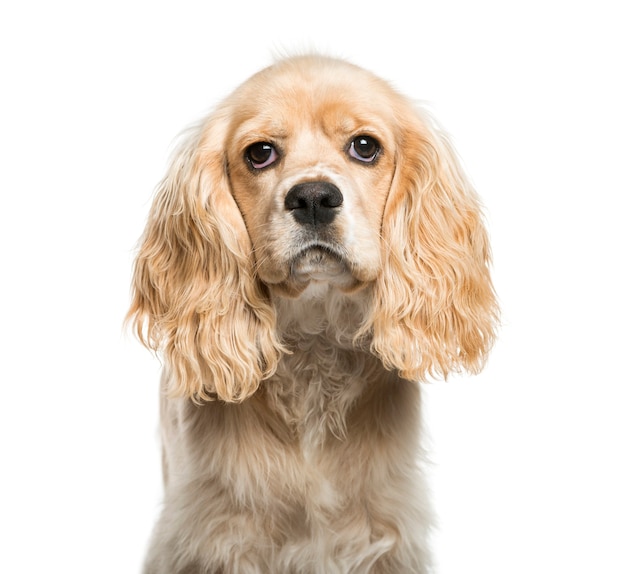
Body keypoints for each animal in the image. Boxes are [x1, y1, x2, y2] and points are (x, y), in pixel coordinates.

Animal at [128, 55, 498, 574]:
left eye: (365, 146)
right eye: (260, 153)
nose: (314, 198)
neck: (314, 338)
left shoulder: (382, 529)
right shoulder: (213, 533)